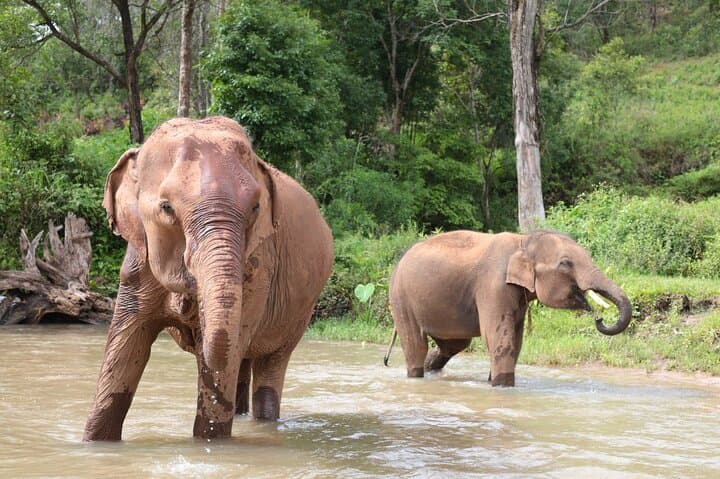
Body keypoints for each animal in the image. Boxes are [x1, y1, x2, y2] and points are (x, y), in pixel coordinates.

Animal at [83, 116, 333, 440]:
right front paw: (93, 442)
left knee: (268, 366)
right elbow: (126, 345)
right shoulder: (138, 265)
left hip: (300, 312)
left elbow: (221, 362)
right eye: (166, 207)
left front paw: (210, 442)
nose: (191, 319)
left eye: (255, 207)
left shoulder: (258, 268)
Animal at [386, 230, 632, 386]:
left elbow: (517, 341)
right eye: (566, 263)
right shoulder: (493, 286)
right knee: (416, 345)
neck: (524, 241)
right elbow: (500, 341)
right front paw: (502, 387)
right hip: (400, 298)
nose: (599, 319)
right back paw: (416, 375)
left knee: (454, 344)